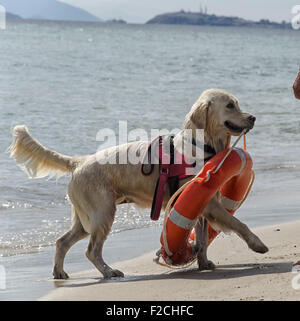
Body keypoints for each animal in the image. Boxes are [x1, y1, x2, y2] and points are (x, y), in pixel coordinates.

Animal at [9, 87, 268, 278]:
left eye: (237, 103)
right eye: (230, 105)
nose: (253, 117)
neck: (201, 145)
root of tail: (79, 161)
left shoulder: (204, 205)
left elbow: (203, 240)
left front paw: (203, 263)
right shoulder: (208, 204)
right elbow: (237, 223)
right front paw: (257, 244)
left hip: (86, 219)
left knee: (62, 241)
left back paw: (59, 272)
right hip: (103, 212)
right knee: (91, 251)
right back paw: (109, 272)